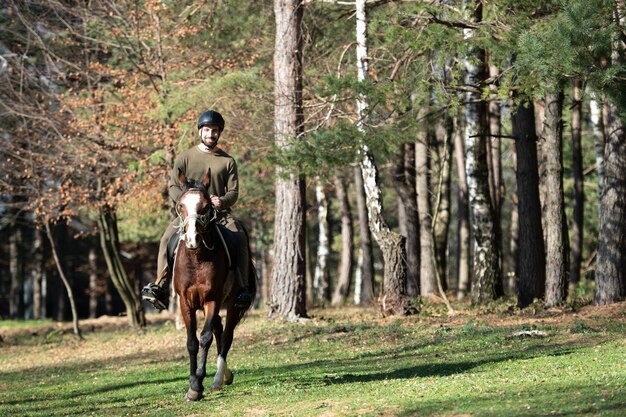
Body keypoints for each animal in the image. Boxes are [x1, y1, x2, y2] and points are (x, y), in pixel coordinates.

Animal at [173, 169, 254, 400]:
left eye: (206, 205)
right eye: (181, 205)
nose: (192, 238)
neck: (197, 259)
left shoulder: (212, 300)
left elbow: (205, 338)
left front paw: (197, 385)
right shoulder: (186, 302)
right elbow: (192, 343)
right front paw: (192, 383)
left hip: (233, 305)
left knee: (226, 336)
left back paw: (218, 379)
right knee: (219, 329)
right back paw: (225, 376)